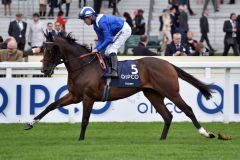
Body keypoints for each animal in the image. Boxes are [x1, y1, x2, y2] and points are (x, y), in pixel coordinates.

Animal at [24, 33, 216, 141]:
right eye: (41, 49)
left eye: (51, 50)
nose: (44, 70)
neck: (84, 66)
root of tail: (168, 63)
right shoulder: (74, 95)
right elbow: (51, 105)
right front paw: (30, 123)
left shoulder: (88, 97)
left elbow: (85, 120)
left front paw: (80, 139)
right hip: (152, 94)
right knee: (167, 115)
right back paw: (161, 139)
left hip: (171, 91)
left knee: (188, 109)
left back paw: (206, 133)